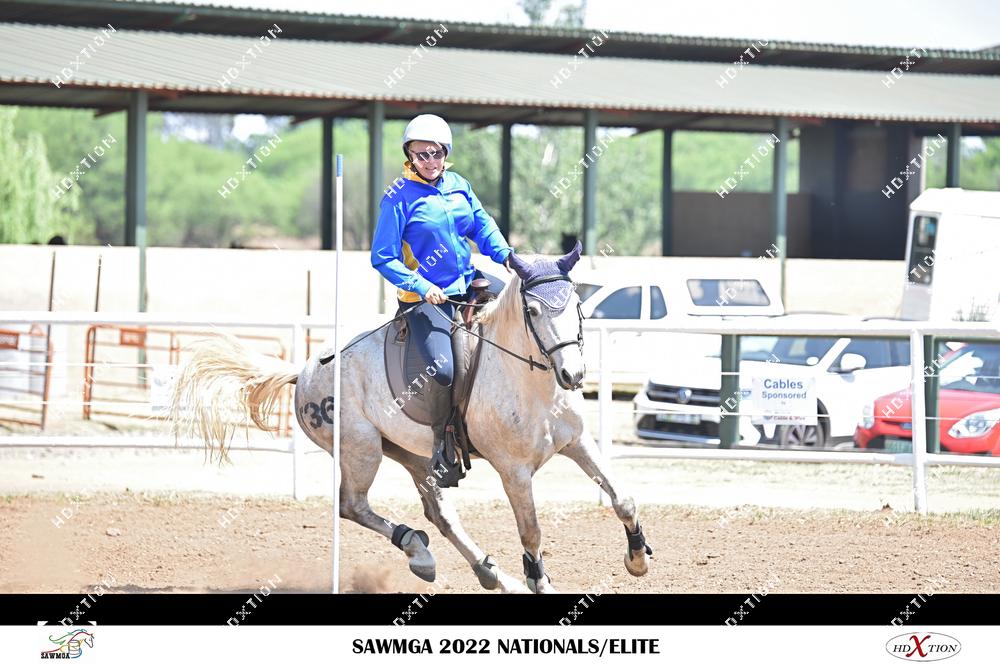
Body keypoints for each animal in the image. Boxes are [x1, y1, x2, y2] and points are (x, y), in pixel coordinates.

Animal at [169, 242, 652, 593]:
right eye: (532, 312)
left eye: (577, 307)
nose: (573, 375)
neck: (529, 382)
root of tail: (303, 370)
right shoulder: (513, 472)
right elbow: (530, 531)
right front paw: (540, 581)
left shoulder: (579, 444)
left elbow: (623, 498)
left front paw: (637, 557)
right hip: (361, 449)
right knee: (352, 505)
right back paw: (418, 549)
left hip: (413, 454)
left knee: (439, 513)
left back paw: (489, 574)